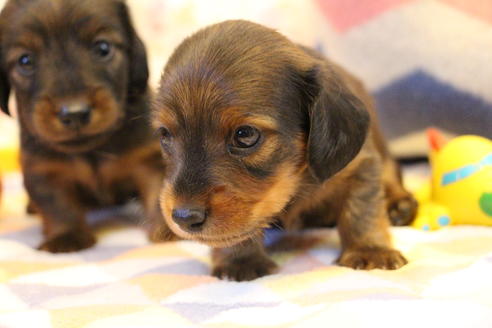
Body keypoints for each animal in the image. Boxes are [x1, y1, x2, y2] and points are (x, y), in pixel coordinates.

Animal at [0, 0, 175, 252]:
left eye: (103, 48)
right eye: (25, 60)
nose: (74, 113)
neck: (91, 150)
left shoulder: (150, 157)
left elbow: (159, 194)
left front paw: (168, 230)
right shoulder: (44, 170)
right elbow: (58, 206)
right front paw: (66, 236)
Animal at [154, 20, 416, 280]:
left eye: (245, 135)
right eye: (164, 134)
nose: (184, 218)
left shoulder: (361, 165)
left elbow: (362, 210)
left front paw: (370, 250)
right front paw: (241, 260)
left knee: (391, 171)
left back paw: (399, 205)